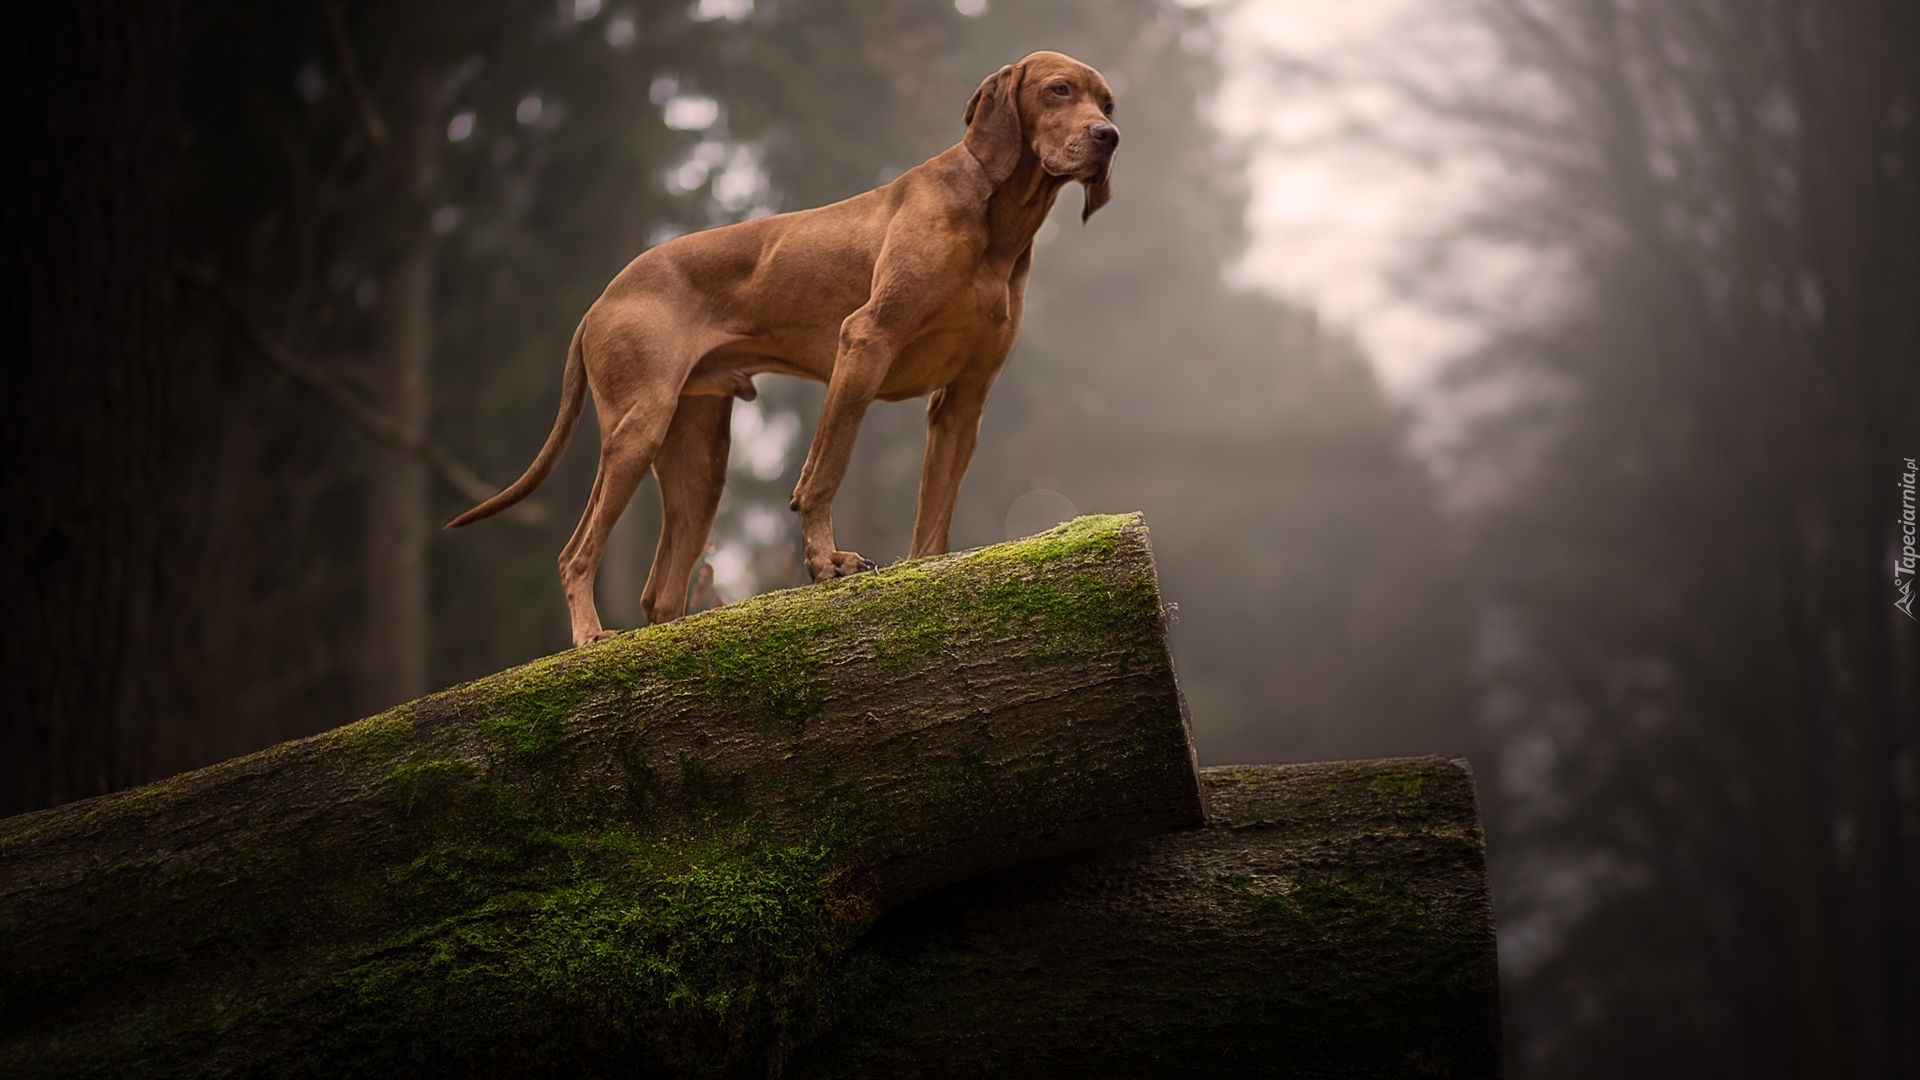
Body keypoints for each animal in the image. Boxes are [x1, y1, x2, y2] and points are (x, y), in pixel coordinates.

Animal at [443, 50, 1121, 641]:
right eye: (1059, 90)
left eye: (1108, 102)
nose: (1109, 135)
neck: (996, 222)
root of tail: (599, 301)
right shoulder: (864, 342)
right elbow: (822, 473)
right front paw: (827, 566)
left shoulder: (963, 399)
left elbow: (935, 512)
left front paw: (923, 573)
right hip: (640, 425)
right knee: (575, 553)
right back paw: (589, 637)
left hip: (699, 458)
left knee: (659, 593)